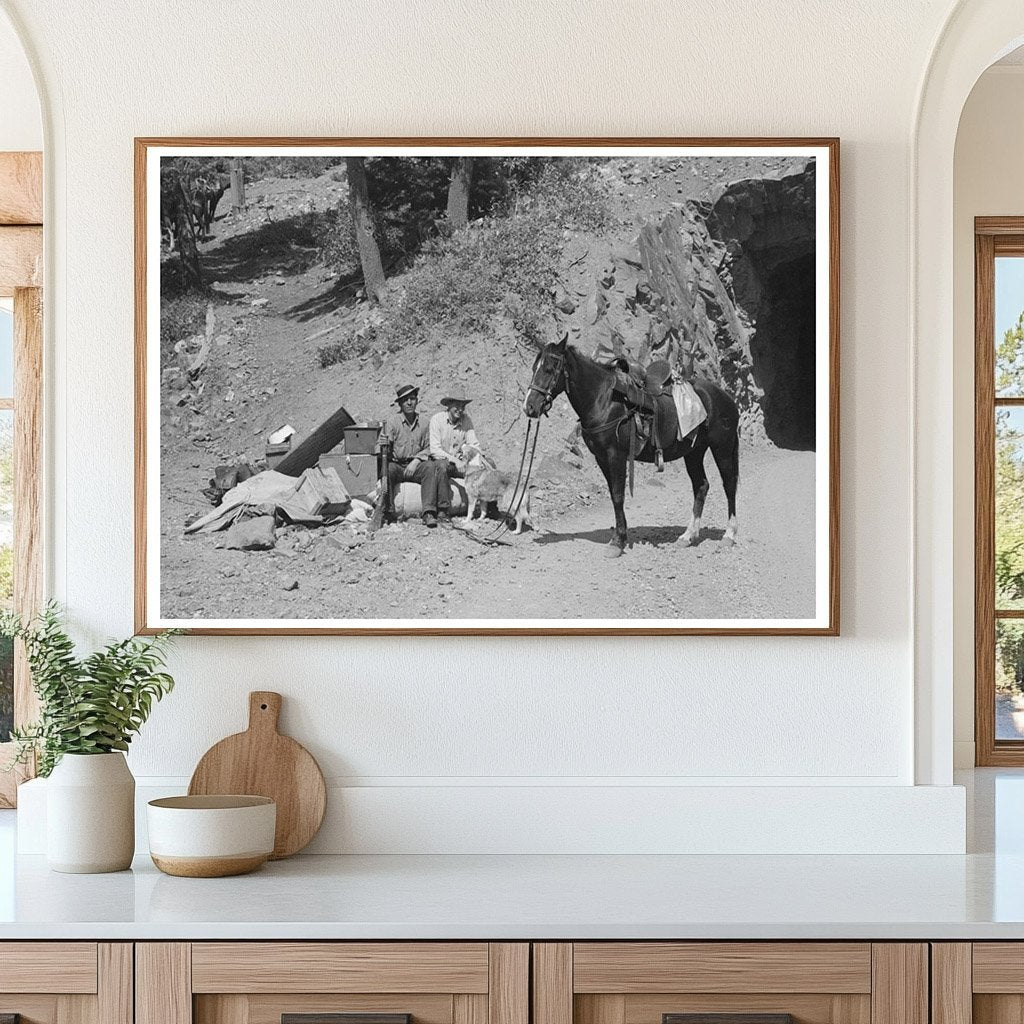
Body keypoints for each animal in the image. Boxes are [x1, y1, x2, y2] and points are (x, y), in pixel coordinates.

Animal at [528, 335, 737, 561]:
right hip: (694, 452)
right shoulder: (602, 458)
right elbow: (614, 495)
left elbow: (618, 495)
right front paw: (621, 536)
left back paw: (729, 535)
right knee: (701, 486)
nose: (529, 407)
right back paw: (688, 536)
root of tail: (726, 398)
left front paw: (617, 542)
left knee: (729, 485)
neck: (604, 399)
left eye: (549, 369)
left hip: (723, 448)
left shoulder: (616, 455)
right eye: (534, 368)